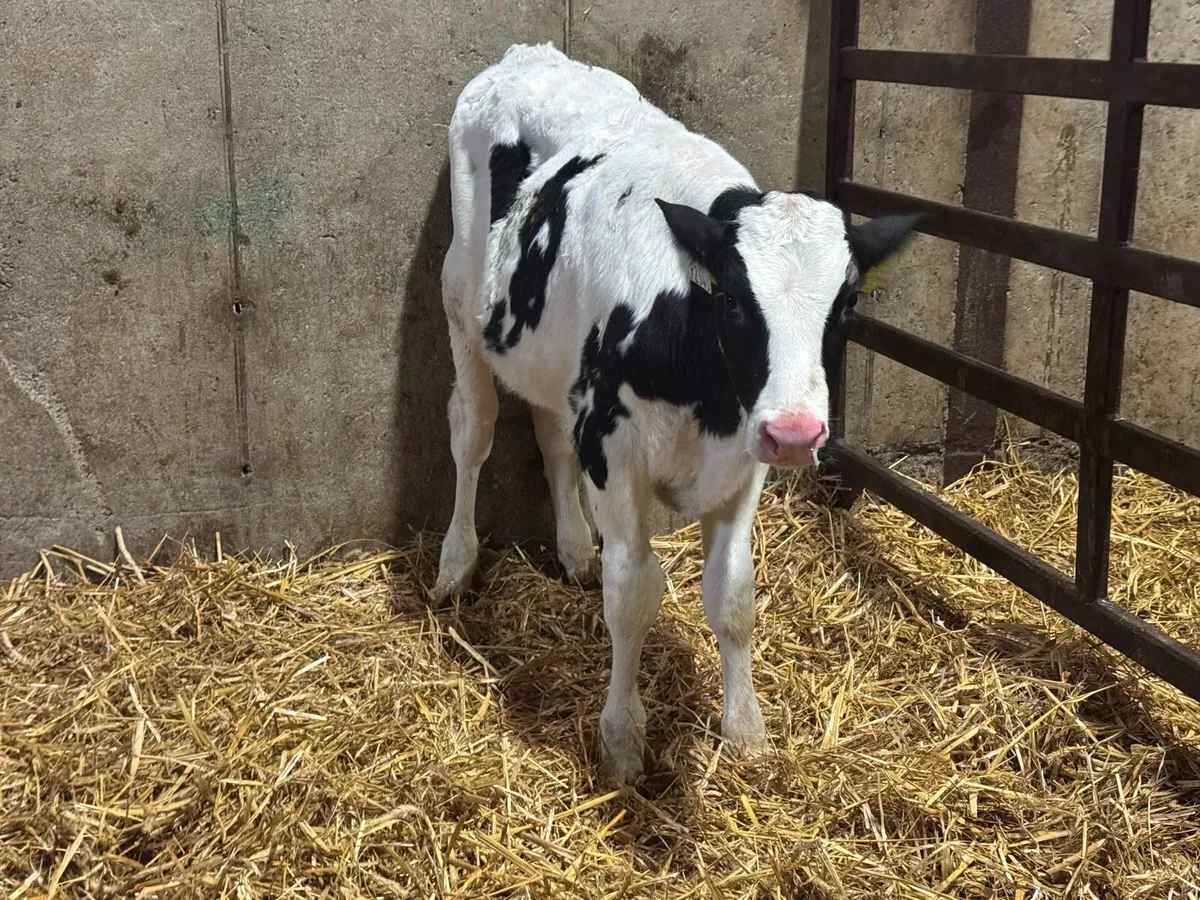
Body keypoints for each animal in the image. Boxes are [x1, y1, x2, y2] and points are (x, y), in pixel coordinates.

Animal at [434, 43, 918, 782]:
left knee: (551, 433)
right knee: (474, 431)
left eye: (849, 304)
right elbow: (632, 593)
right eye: (734, 302)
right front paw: (622, 742)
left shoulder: (743, 459)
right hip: (462, 302)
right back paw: (454, 566)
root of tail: (527, 54)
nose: (796, 433)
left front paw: (745, 732)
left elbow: (733, 595)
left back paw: (574, 550)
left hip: (554, 356)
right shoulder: (614, 450)